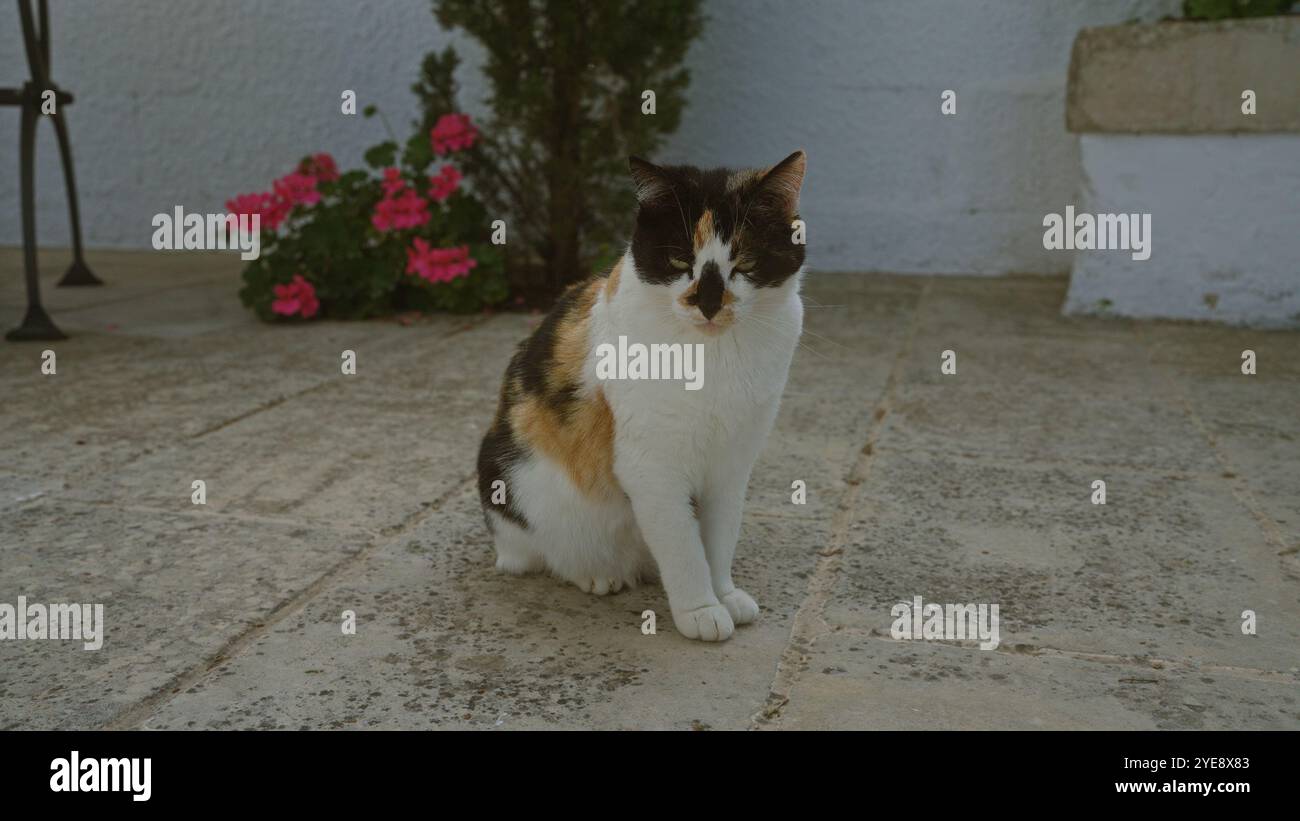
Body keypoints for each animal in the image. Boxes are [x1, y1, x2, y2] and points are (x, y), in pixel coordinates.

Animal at [475, 152, 800, 641]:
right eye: (679, 259)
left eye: (743, 262)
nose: (708, 304)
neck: (713, 359)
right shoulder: (651, 467)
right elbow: (684, 547)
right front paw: (701, 610)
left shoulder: (733, 461)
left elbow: (719, 537)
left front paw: (723, 594)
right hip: (511, 480)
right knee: (541, 553)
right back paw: (597, 574)